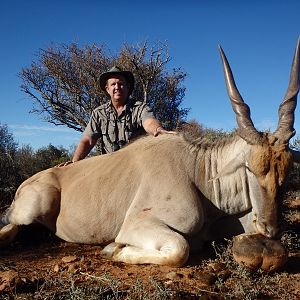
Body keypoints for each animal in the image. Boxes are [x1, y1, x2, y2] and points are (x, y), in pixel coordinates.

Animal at [0, 39, 298, 268]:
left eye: (285, 173)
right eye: (250, 168)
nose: (272, 229)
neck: (198, 171)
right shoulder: (137, 225)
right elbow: (179, 249)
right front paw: (113, 249)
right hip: (33, 208)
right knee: (9, 226)